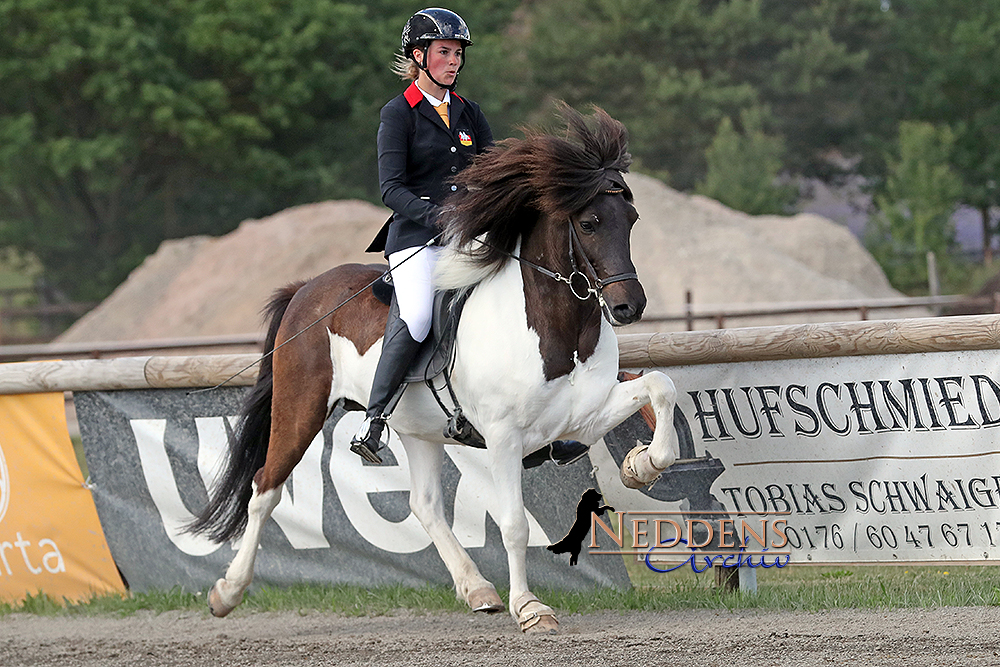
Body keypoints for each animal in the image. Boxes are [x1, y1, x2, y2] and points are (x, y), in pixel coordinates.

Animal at [189, 105, 680, 636]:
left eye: (631, 219)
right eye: (589, 223)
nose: (630, 306)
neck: (555, 327)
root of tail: (306, 289)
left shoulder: (584, 417)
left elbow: (661, 386)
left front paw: (642, 465)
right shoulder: (503, 437)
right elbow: (514, 523)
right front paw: (530, 608)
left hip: (418, 430)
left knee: (423, 505)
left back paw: (478, 589)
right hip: (300, 409)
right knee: (265, 488)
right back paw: (226, 593)